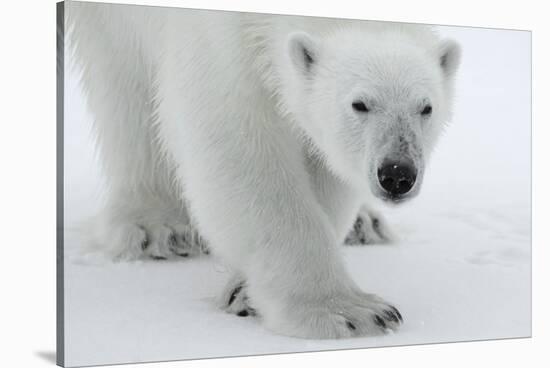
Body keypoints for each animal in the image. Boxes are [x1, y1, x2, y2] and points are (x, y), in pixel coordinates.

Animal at [67, 0, 464, 340]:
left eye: (426, 107)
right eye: (359, 104)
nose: (397, 174)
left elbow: (321, 158)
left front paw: (245, 292)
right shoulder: (215, 38)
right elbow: (237, 144)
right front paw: (347, 313)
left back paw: (364, 224)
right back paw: (159, 226)